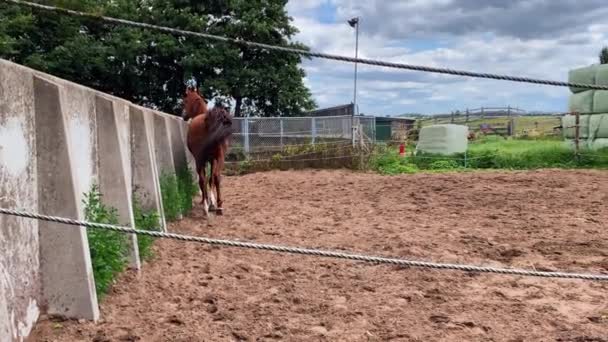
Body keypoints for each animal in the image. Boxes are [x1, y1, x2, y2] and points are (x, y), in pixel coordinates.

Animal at [182, 84, 232, 215]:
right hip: (219, 157)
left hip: (200, 160)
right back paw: (219, 206)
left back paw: (206, 206)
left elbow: (206, 180)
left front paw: (209, 202)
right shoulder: (213, 159)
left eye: (184, 101)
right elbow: (212, 179)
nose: (184, 116)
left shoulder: (206, 160)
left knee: (202, 180)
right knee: (216, 177)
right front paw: (213, 203)